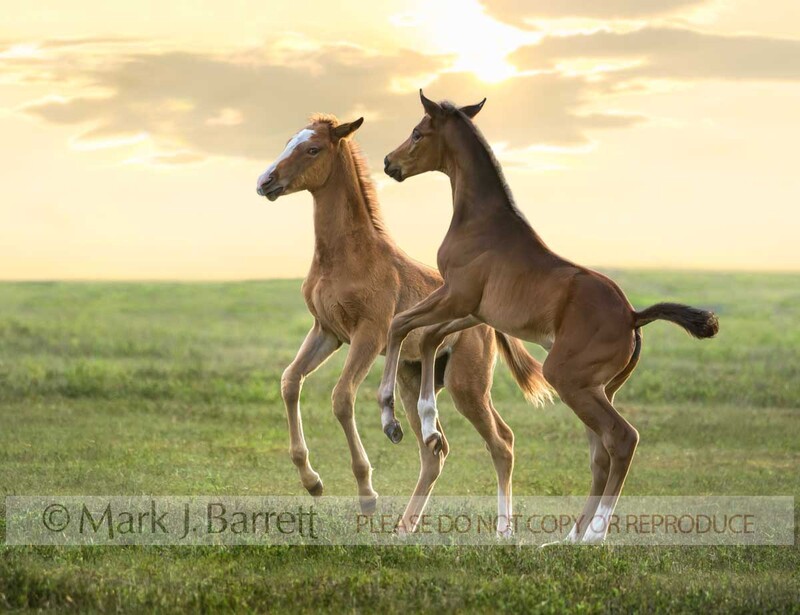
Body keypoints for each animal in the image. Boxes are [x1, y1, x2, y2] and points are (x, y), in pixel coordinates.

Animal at [256, 114, 551, 535]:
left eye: (313, 149)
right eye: (287, 142)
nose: (266, 182)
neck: (346, 256)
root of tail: (484, 316)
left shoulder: (369, 333)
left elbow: (341, 397)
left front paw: (366, 493)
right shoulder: (327, 332)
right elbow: (290, 381)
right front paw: (312, 481)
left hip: (466, 384)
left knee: (502, 442)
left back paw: (502, 529)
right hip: (414, 382)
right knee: (435, 452)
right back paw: (403, 528)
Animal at [378, 92, 719, 543]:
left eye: (418, 133)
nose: (389, 163)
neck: (481, 222)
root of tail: (633, 316)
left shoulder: (456, 297)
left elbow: (399, 324)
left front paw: (392, 420)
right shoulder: (472, 311)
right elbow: (429, 336)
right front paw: (430, 424)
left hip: (569, 379)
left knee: (622, 439)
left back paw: (593, 535)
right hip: (597, 389)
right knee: (601, 454)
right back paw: (568, 538)